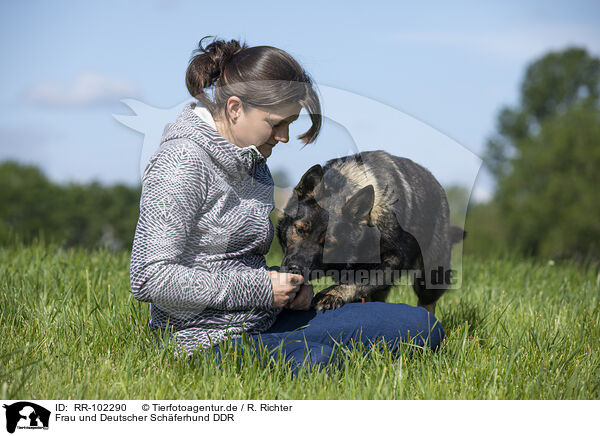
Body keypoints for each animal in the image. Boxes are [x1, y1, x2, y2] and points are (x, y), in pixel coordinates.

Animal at [278, 150, 466, 314]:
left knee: (427, 302)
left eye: (329, 243)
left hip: (430, 276)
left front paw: (332, 294)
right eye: (299, 230)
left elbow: (359, 279)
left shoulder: (391, 261)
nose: (295, 269)